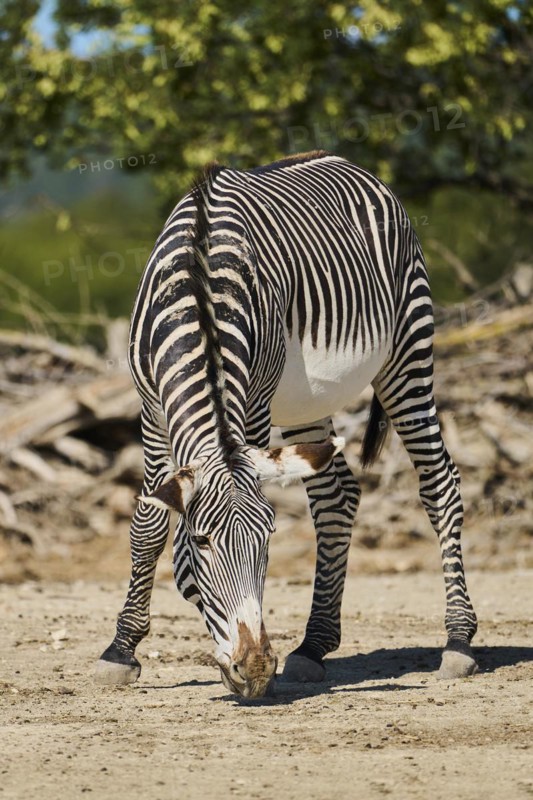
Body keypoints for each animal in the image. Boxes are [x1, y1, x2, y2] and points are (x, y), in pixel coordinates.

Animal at [96, 150, 478, 699]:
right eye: (201, 542)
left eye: (268, 540)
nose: (255, 669)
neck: (200, 286)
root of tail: (342, 159)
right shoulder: (150, 407)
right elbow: (148, 523)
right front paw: (121, 650)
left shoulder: (254, 403)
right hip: (307, 402)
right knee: (337, 498)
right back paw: (313, 646)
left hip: (408, 351)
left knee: (440, 483)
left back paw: (459, 640)